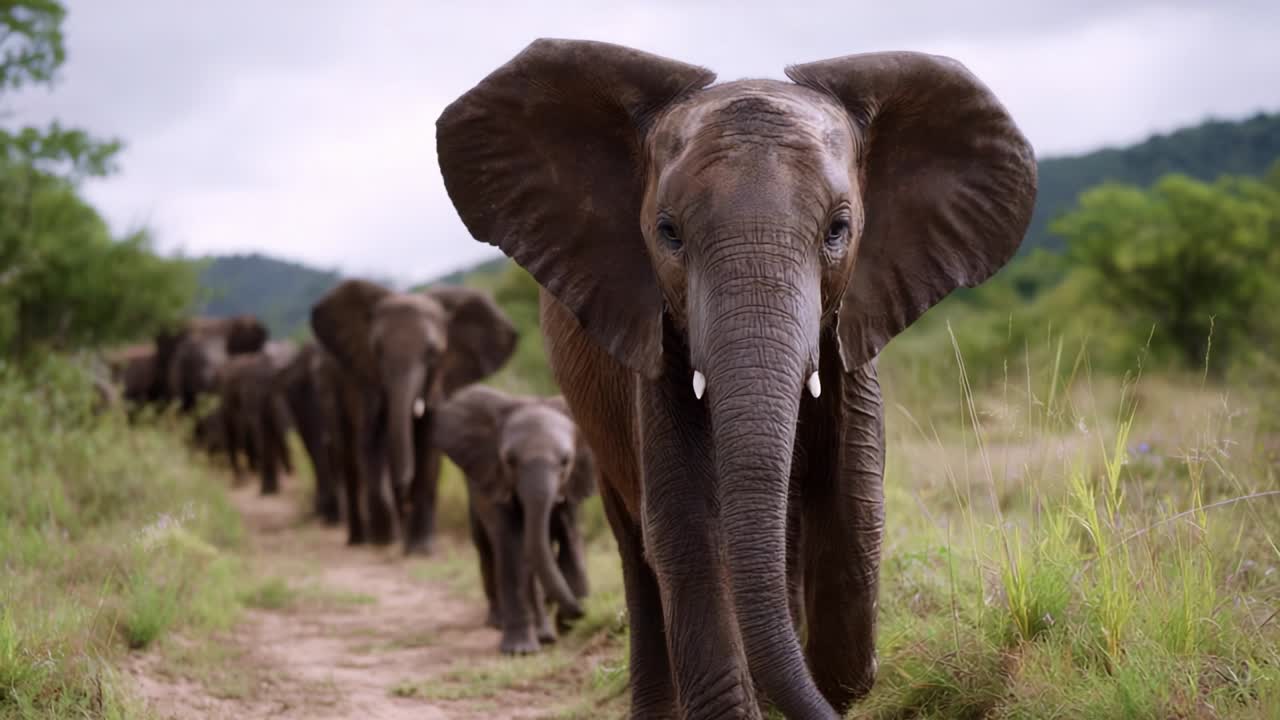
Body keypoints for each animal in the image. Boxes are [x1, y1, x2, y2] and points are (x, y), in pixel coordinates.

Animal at [310, 280, 518, 554]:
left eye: (433, 353)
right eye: (376, 350)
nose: (403, 497)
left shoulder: (440, 379)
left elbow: (429, 448)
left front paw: (420, 550)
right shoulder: (363, 378)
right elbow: (370, 443)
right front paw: (384, 540)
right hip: (330, 386)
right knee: (349, 457)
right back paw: (361, 540)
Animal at [432, 385, 596, 655]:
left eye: (566, 462)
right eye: (509, 461)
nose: (581, 611)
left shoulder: (572, 488)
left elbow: (570, 544)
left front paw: (568, 625)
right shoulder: (499, 485)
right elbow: (512, 548)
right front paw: (519, 652)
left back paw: (545, 635)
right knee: (489, 552)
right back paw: (500, 624)